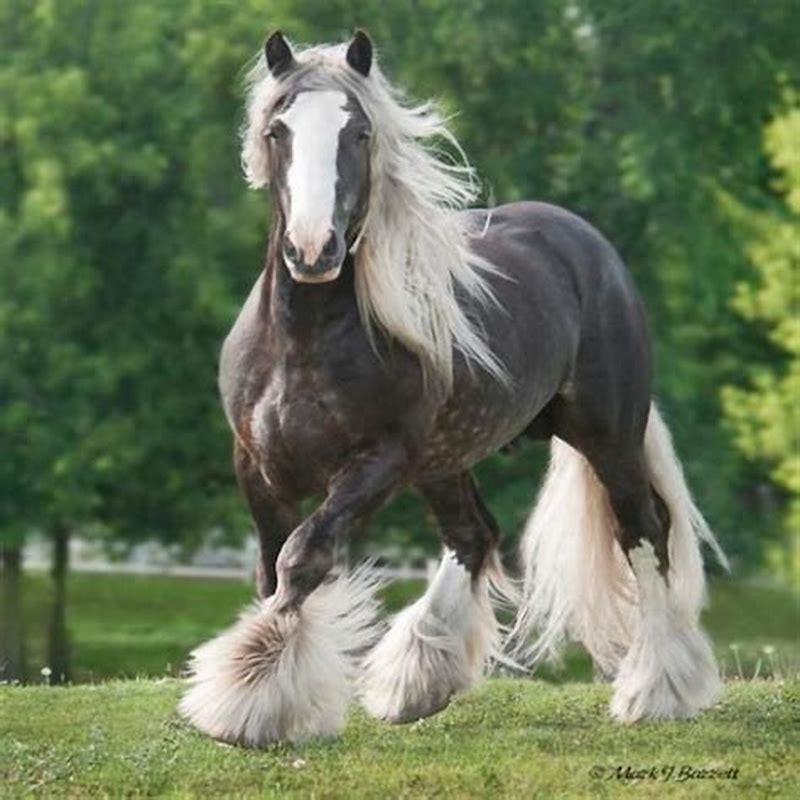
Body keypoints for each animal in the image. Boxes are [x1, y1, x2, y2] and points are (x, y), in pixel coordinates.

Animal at [179, 30, 728, 746]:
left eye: (359, 132)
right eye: (278, 130)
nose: (314, 250)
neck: (304, 342)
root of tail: (589, 246)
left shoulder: (378, 463)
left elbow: (303, 557)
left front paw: (248, 696)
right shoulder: (257, 466)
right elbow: (272, 566)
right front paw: (265, 691)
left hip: (607, 437)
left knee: (642, 529)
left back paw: (656, 690)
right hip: (446, 458)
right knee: (474, 535)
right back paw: (416, 682)